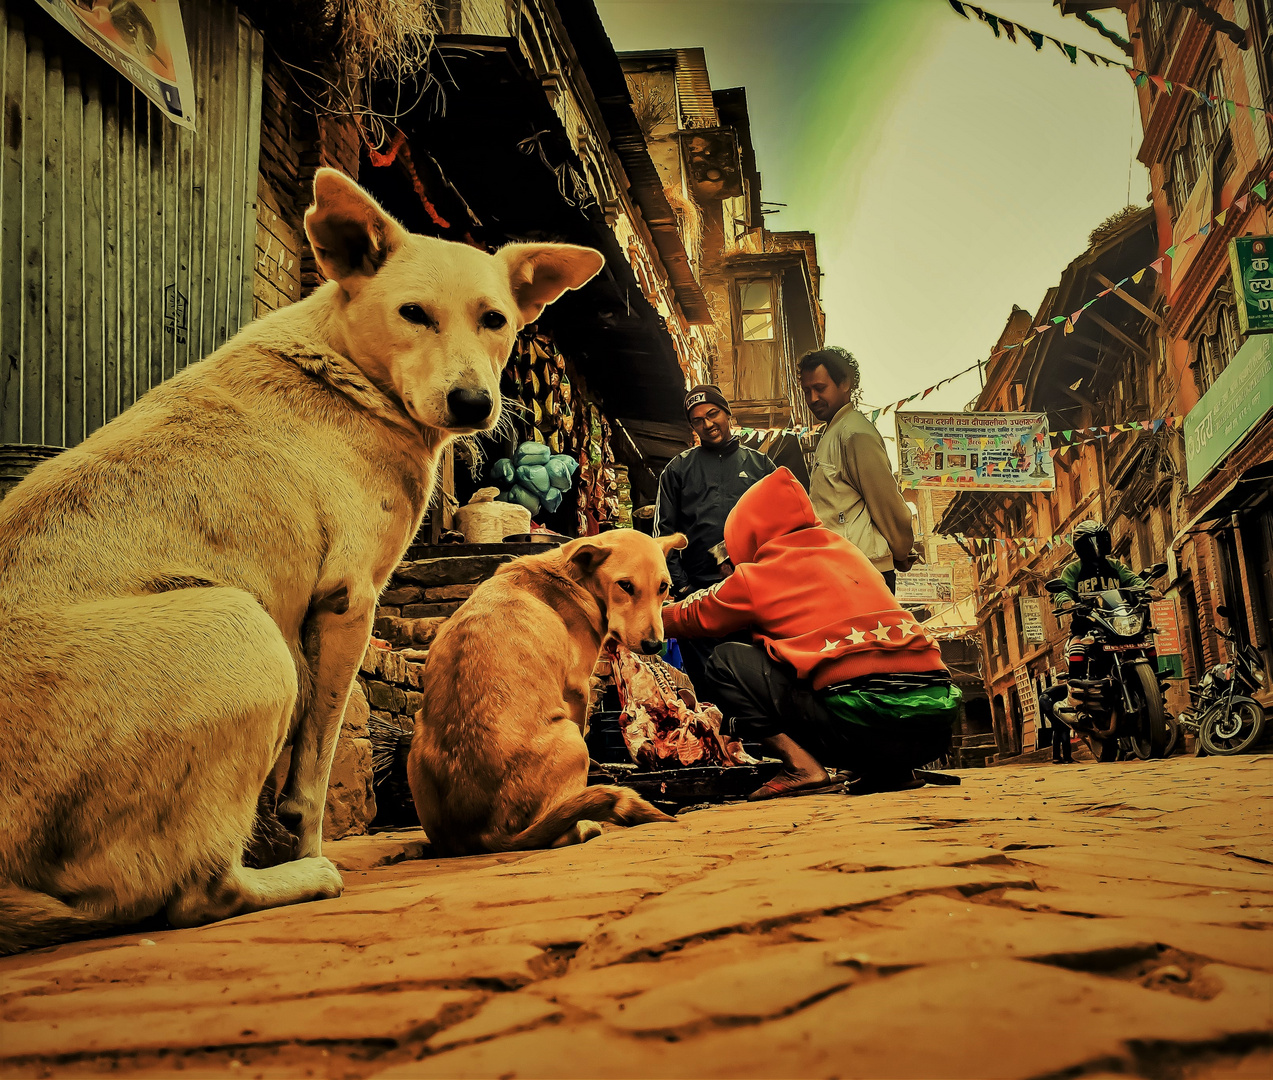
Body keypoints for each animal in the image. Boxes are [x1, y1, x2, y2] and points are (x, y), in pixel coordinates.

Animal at [407, 529, 687, 850]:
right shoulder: (578, 691)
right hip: (571, 740)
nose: (654, 645)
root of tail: (488, 836)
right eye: (625, 586)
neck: (575, 579)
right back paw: (585, 825)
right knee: (560, 832)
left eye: (663, 588)